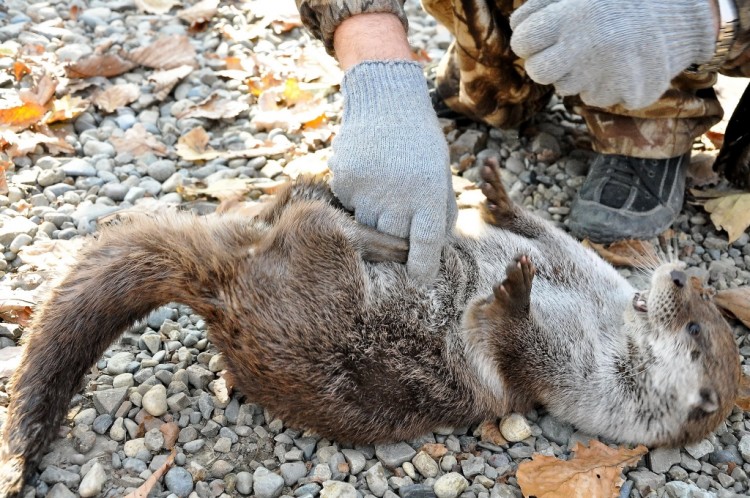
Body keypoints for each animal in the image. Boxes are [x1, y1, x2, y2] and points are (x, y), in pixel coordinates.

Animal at [0, 162, 740, 494]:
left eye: (695, 333)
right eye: (702, 298)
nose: (680, 277)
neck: (599, 324)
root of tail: (223, 289)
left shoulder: (557, 377)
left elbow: (507, 343)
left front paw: (513, 294)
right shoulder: (588, 270)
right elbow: (546, 234)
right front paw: (500, 199)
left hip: (316, 274)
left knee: (305, 225)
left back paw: (381, 238)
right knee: (286, 205)